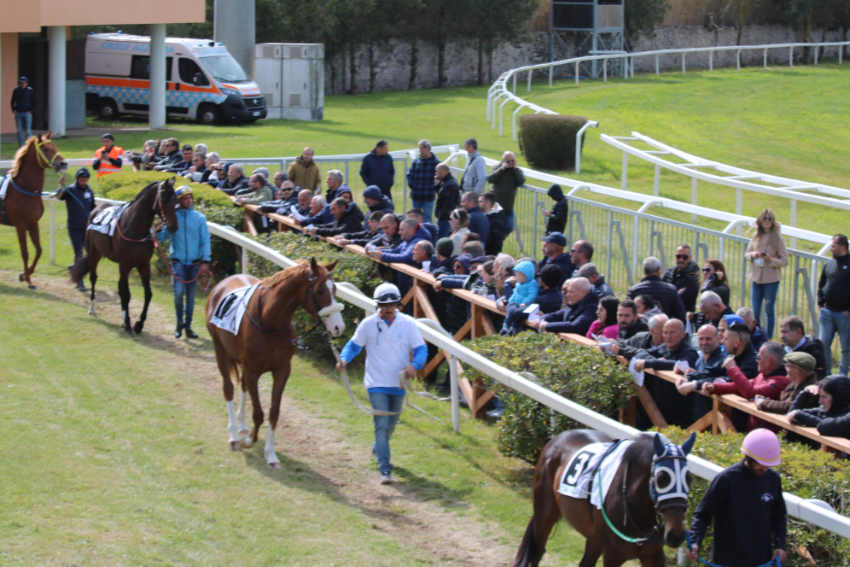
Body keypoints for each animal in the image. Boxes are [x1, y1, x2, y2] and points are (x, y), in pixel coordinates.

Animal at [0, 134, 67, 288]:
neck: (26, 189)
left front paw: (25, 275)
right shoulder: (20, 225)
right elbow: (25, 252)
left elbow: (39, 250)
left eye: (55, 146)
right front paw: (28, 279)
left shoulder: (33, 223)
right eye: (46, 148)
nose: (63, 164)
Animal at [71, 180, 179, 336]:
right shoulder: (125, 264)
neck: (135, 228)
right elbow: (126, 293)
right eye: (164, 199)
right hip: (94, 253)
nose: (173, 227)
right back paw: (92, 308)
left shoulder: (143, 264)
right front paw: (128, 323)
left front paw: (138, 324)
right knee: (94, 278)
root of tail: (96, 210)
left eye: (176, 200)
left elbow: (148, 294)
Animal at [206, 260, 344, 468]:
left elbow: (274, 412)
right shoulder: (253, 371)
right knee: (228, 389)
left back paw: (242, 426)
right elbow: (258, 413)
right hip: (220, 350)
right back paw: (234, 435)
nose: (338, 327)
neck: (269, 321)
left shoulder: (282, 370)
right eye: (320, 290)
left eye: (334, 288)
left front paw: (270, 453)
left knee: (243, 387)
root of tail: (221, 285)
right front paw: (248, 441)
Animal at [512, 430, 692, 567]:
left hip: (594, 537)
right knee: (537, 551)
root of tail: (556, 439)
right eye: (662, 478)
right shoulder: (613, 555)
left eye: (688, 478)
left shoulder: (653, 555)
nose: (676, 535)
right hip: (545, 515)